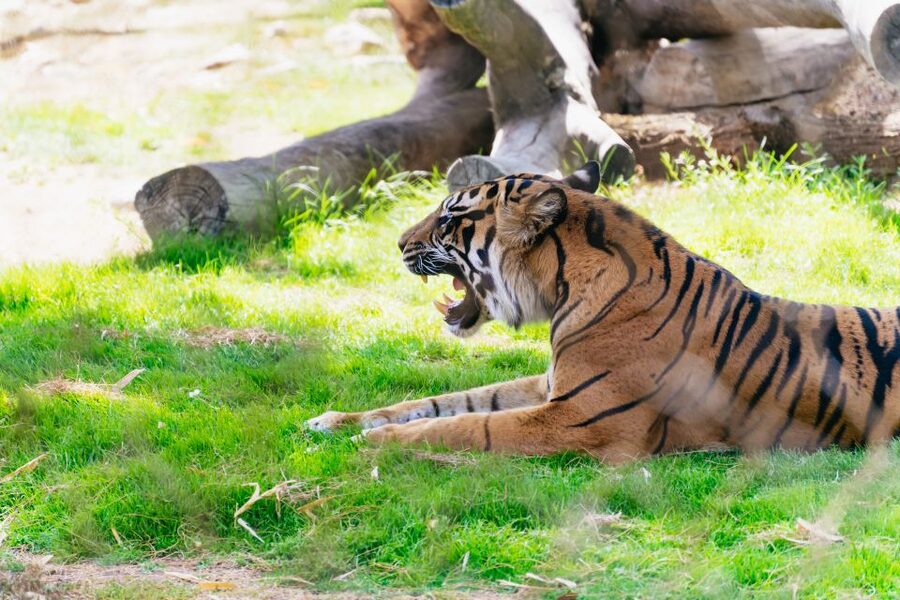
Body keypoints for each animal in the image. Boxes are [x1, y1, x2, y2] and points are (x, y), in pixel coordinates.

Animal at [306, 161, 900, 462]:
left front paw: (370, 442)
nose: (397, 243)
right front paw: (336, 421)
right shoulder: (550, 386)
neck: (562, 290)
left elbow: (469, 426)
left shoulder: (578, 419)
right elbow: (444, 402)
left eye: (451, 217)